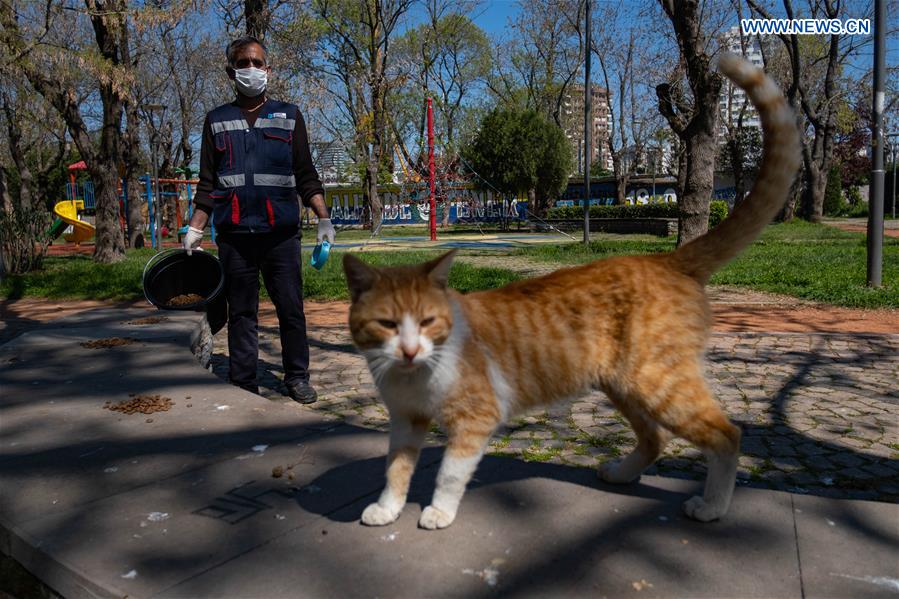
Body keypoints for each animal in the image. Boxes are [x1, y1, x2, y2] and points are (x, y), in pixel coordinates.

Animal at [344, 54, 800, 528]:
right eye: (387, 323)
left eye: (429, 321)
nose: (410, 350)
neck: (413, 375)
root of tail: (664, 259)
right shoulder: (405, 423)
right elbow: (396, 468)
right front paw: (386, 508)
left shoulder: (476, 418)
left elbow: (450, 471)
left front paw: (437, 511)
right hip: (625, 385)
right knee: (655, 438)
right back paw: (622, 473)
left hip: (659, 383)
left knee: (728, 435)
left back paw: (712, 506)